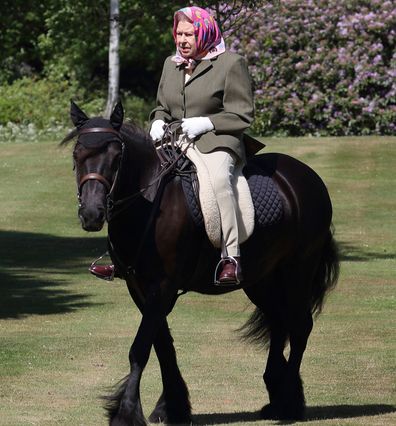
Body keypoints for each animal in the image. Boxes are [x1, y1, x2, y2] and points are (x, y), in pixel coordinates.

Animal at [62, 101, 338, 424]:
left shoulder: (163, 286)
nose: (92, 214)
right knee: (279, 321)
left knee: (299, 326)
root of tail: (307, 176)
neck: (149, 200)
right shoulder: (139, 287)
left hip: (298, 270)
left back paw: (290, 403)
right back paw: (276, 396)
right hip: (261, 279)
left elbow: (140, 348)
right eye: (77, 155)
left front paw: (127, 412)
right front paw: (171, 407)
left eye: (117, 157)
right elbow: (162, 345)